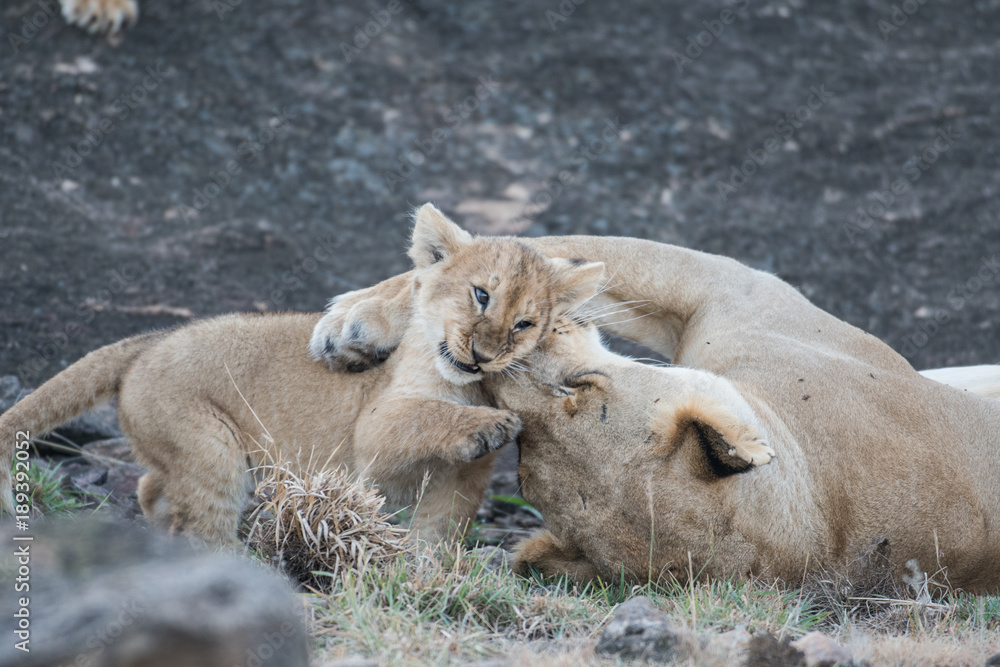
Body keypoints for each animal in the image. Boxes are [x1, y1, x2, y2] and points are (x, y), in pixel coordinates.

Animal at [0, 204, 604, 545]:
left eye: (525, 324)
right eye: (481, 295)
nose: (482, 355)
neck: (467, 383)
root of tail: (154, 338)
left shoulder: (464, 479)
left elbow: (439, 529)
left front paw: (421, 576)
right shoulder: (375, 431)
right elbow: (421, 417)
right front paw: (487, 424)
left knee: (153, 486)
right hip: (209, 447)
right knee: (203, 516)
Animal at [311, 234, 1000, 593]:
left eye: (580, 389)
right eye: (526, 471)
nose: (490, 365)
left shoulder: (743, 290)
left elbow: (560, 251)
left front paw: (362, 317)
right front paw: (360, 325)